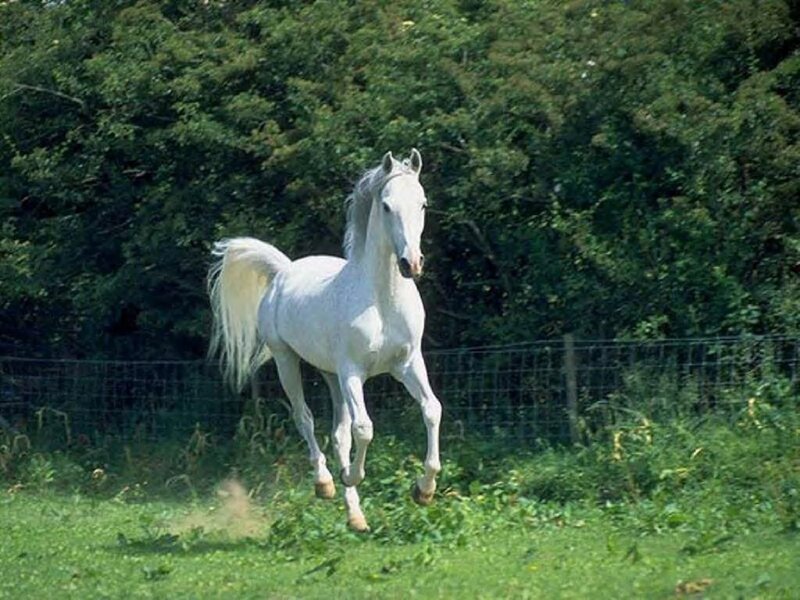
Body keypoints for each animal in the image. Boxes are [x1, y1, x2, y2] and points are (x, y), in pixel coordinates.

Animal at [207, 149, 441, 532]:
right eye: (387, 206)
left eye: (422, 204)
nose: (411, 264)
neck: (381, 299)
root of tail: (284, 271)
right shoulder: (353, 373)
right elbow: (365, 428)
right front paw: (351, 475)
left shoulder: (407, 364)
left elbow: (431, 410)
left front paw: (424, 490)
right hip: (288, 361)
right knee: (305, 418)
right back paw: (326, 483)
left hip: (330, 375)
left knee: (338, 434)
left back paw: (356, 517)